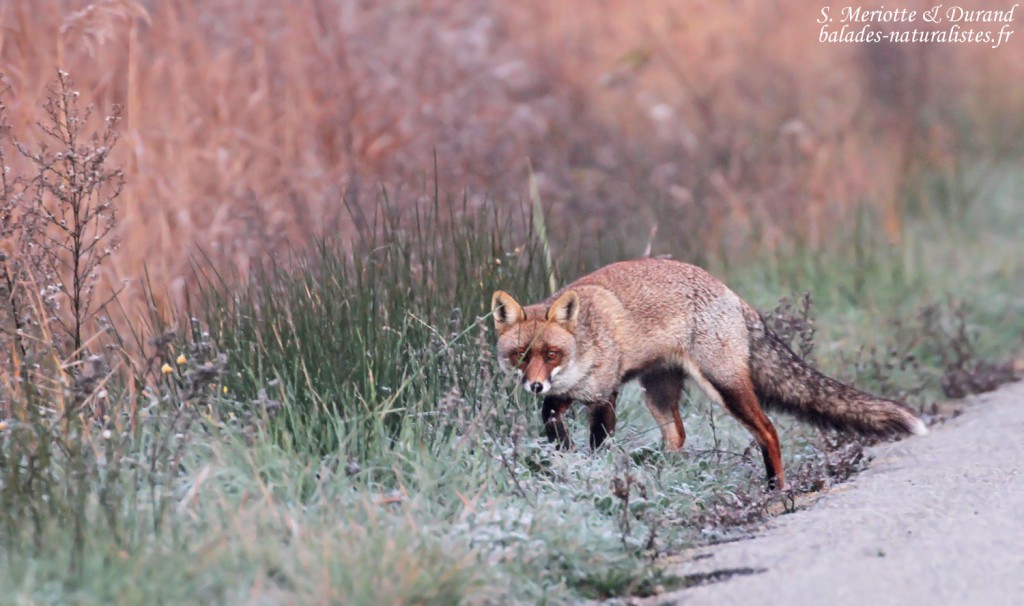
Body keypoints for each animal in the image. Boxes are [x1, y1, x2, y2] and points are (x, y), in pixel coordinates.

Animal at [490, 258, 927, 489]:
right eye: (520, 356)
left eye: (551, 353)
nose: (534, 384)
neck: (581, 351)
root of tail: (733, 295)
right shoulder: (562, 396)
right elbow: (550, 419)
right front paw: (561, 450)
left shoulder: (603, 395)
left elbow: (598, 443)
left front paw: (591, 469)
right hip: (658, 394)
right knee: (678, 436)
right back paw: (662, 472)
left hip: (724, 387)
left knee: (768, 429)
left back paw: (776, 488)